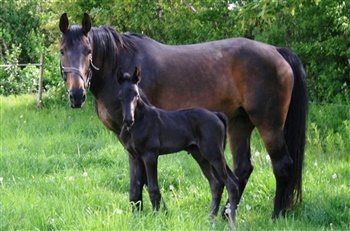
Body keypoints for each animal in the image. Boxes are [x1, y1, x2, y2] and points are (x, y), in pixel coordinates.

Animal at [58, 12, 308, 218]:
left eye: (88, 51)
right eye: (62, 51)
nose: (76, 95)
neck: (120, 63)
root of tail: (277, 51)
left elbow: (143, 180)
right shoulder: (128, 141)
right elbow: (136, 183)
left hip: (269, 125)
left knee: (282, 165)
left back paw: (276, 215)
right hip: (240, 124)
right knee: (242, 169)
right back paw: (226, 213)